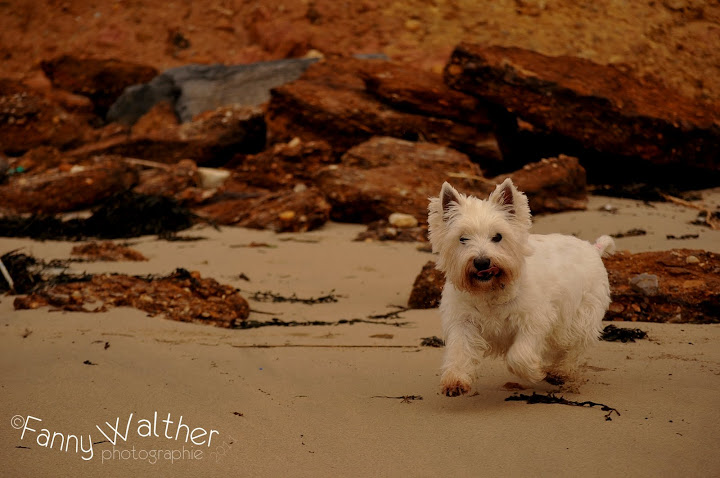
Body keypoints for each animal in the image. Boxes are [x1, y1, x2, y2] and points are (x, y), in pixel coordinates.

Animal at [428, 179, 612, 396]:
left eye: (498, 236)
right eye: (462, 238)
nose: (482, 262)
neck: (490, 290)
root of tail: (593, 248)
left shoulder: (534, 318)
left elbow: (518, 355)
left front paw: (534, 372)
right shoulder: (462, 320)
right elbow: (459, 349)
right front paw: (455, 381)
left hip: (583, 313)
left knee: (574, 346)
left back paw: (561, 372)